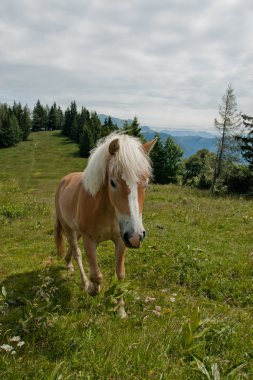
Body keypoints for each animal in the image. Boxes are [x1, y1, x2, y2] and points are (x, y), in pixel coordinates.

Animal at [54, 132, 155, 316]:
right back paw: (84, 282)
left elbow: (120, 274)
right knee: (77, 252)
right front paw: (92, 289)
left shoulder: (121, 240)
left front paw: (121, 311)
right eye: (113, 182)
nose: (136, 236)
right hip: (69, 228)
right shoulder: (89, 239)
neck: (106, 210)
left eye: (145, 183)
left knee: (72, 248)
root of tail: (64, 180)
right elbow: (96, 275)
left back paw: (68, 264)